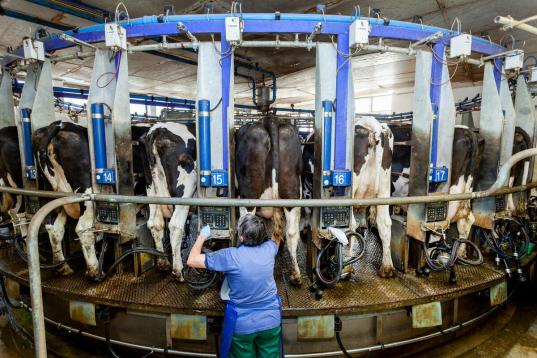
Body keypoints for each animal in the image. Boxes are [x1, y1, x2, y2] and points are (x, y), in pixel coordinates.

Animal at [138, 123, 197, 282]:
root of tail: (158, 129)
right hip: (185, 189)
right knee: (175, 225)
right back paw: (178, 270)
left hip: (152, 190)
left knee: (155, 223)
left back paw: (163, 263)